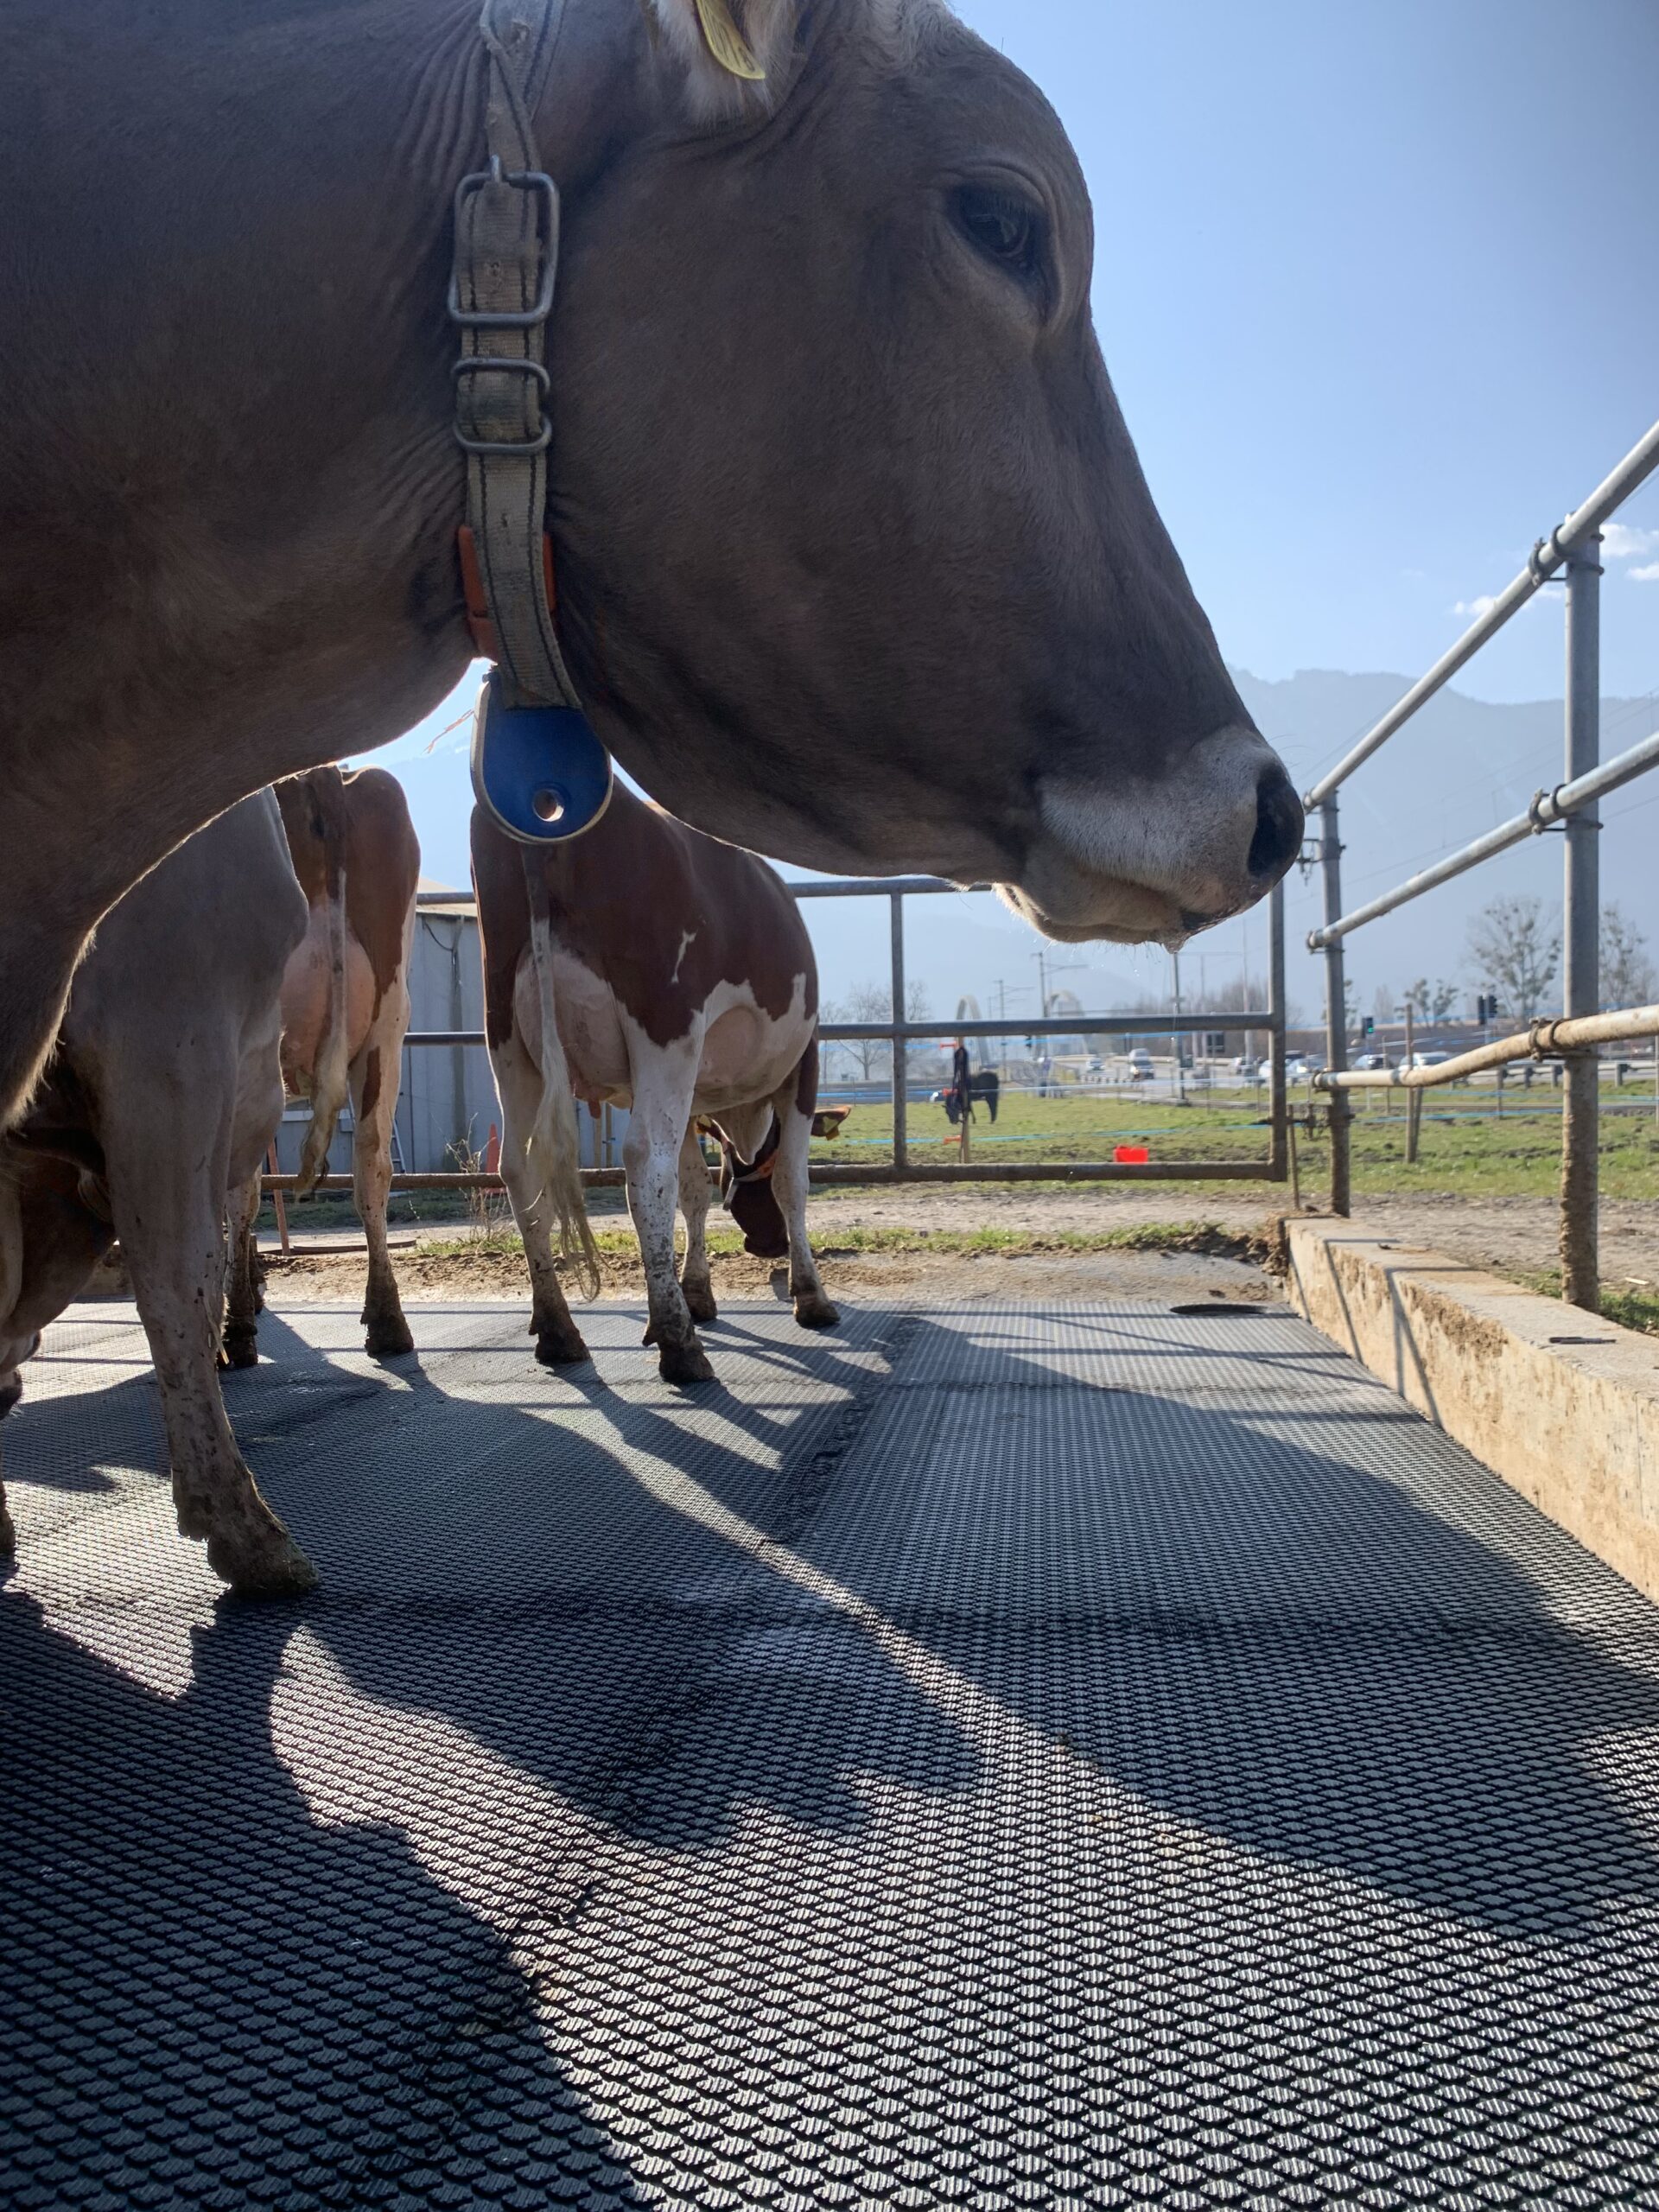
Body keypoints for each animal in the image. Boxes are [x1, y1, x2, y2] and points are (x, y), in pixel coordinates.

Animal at [473, 796, 844, 1380]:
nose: (766, 1246)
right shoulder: (804, 1066)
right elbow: (792, 1184)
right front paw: (811, 1296)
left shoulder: (691, 1100)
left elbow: (693, 1190)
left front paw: (696, 1291)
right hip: (666, 1027)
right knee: (646, 1161)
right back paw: (677, 1341)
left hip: (506, 1037)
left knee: (519, 1168)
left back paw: (558, 1328)